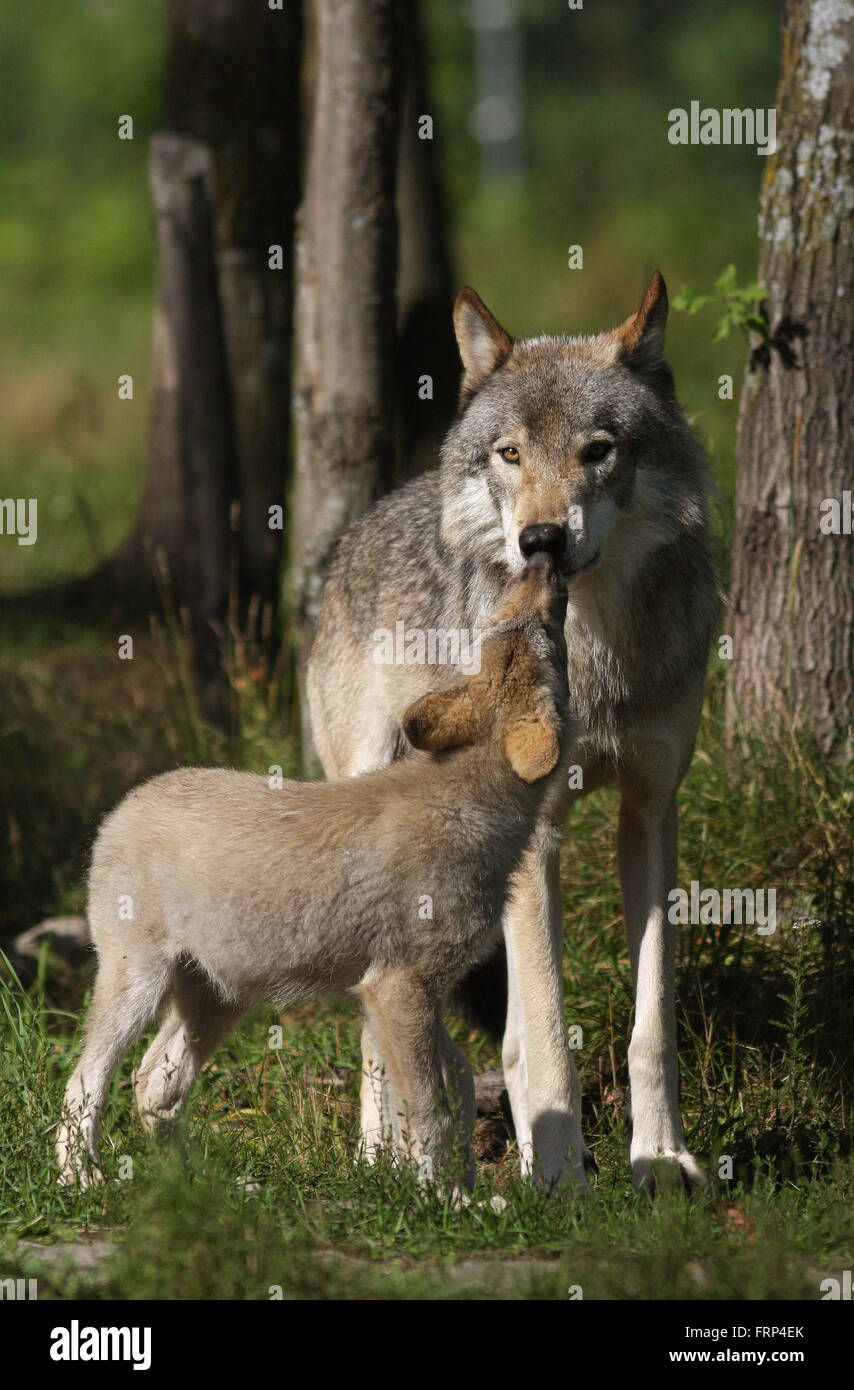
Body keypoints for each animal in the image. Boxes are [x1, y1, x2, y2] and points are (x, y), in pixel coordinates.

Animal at [58, 553, 575, 1195]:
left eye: (515, 628)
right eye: (538, 633)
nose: (542, 558)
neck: (474, 807)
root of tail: (122, 805)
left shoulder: (418, 994)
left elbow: (451, 1088)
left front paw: (467, 1194)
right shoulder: (396, 988)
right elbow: (427, 1111)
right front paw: (442, 1199)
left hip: (216, 997)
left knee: (156, 1084)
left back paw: (210, 1191)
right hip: (138, 984)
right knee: (85, 1081)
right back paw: (82, 1181)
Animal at [310, 273, 723, 1195]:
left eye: (599, 451)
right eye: (509, 455)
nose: (541, 538)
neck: (595, 653)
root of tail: (361, 527)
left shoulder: (652, 813)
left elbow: (649, 1024)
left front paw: (659, 1158)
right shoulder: (540, 839)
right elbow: (548, 1033)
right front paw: (564, 1181)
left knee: (503, 1036)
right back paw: (378, 1159)